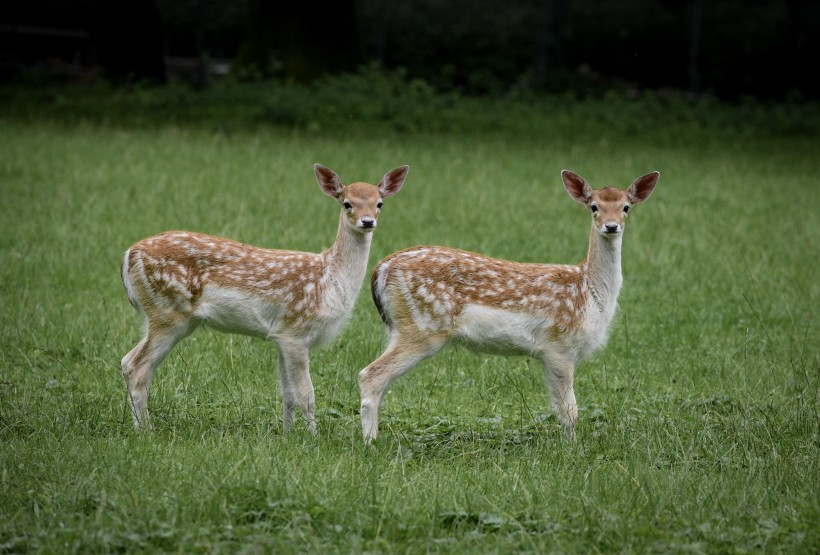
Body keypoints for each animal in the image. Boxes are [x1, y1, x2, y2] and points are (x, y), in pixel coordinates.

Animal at [121, 163, 410, 432]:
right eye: (347, 203)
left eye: (379, 203)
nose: (367, 221)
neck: (328, 279)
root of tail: (128, 256)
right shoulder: (296, 332)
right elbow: (307, 395)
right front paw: (313, 438)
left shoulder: (280, 335)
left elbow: (287, 395)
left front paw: (287, 435)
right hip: (167, 312)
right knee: (137, 367)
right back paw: (146, 432)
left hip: (168, 317)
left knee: (127, 361)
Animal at [358, 169, 660, 444]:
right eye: (594, 206)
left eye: (626, 207)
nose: (611, 226)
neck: (590, 293)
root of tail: (381, 269)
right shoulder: (558, 346)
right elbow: (569, 411)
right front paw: (572, 449)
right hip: (422, 327)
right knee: (370, 375)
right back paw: (370, 443)